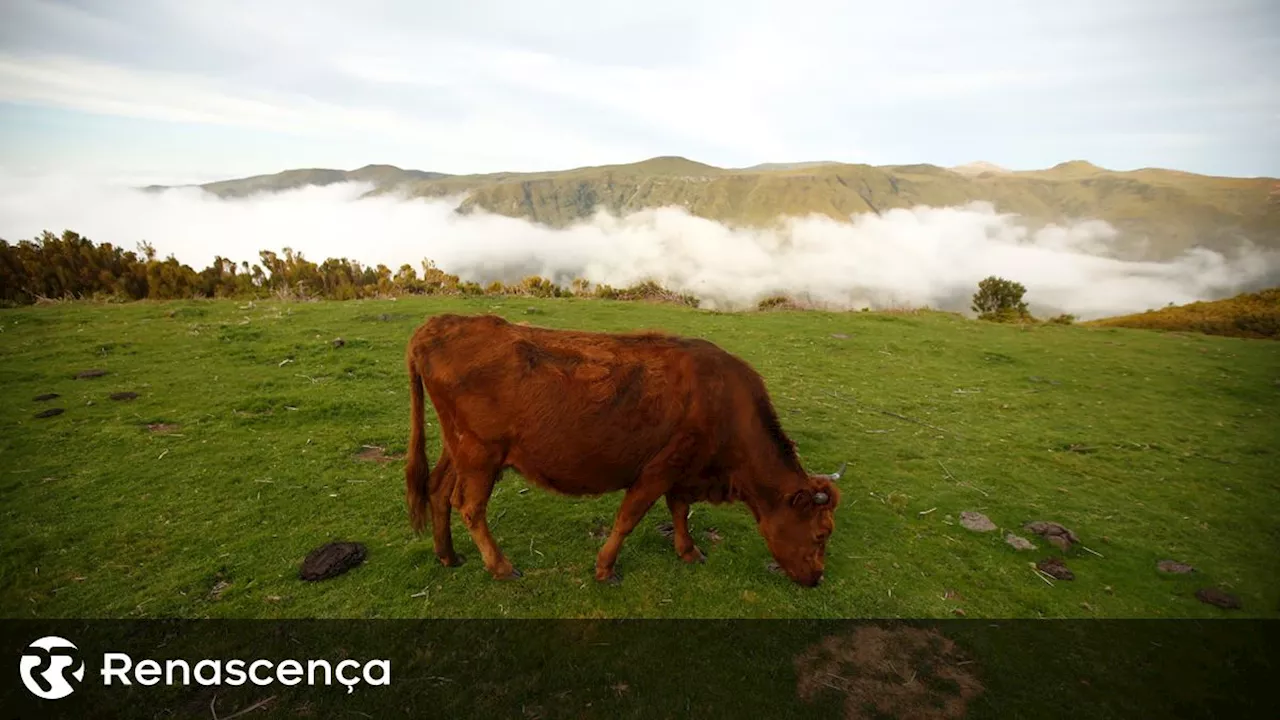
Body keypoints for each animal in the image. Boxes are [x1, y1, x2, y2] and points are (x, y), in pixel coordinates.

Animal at [404, 312, 844, 584]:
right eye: (822, 533)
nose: (817, 579)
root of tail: (439, 324)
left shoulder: (683, 470)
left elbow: (680, 510)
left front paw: (688, 551)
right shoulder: (660, 468)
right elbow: (628, 518)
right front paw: (605, 568)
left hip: (459, 448)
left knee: (438, 490)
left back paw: (447, 555)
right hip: (482, 455)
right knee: (469, 507)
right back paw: (500, 566)